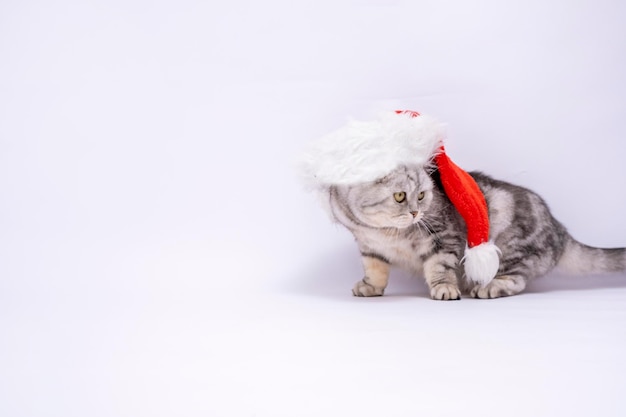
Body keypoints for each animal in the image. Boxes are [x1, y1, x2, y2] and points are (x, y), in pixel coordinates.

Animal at [330, 163, 620, 300]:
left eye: (422, 196)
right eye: (400, 196)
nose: (415, 213)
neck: (383, 231)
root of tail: (560, 231)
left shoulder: (443, 237)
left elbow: (439, 267)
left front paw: (445, 288)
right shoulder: (369, 247)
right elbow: (375, 270)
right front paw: (370, 287)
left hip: (510, 245)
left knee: (516, 279)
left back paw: (489, 287)